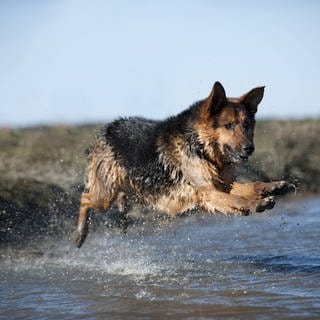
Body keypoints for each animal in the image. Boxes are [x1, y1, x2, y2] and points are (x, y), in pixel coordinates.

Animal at [74, 82, 292, 248]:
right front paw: (256, 204)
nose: (250, 148)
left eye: (246, 125)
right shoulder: (208, 192)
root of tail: (108, 128)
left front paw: (273, 186)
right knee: (84, 198)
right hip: (104, 195)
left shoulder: (222, 185)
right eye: (229, 125)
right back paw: (80, 234)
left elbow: (250, 186)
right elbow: (238, 199)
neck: (202, 146)